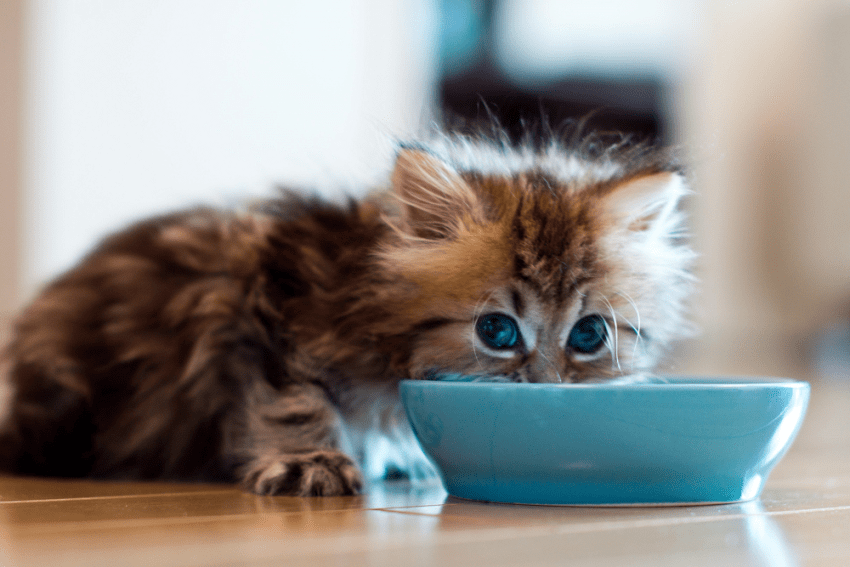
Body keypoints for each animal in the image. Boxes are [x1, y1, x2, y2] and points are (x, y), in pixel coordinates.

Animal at [0, 130, 692, 496]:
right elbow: (294, 400)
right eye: (497, 330)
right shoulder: (261, 300)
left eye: (589, 334)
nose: (546, 388)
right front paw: (311, 462)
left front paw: (397, 452)